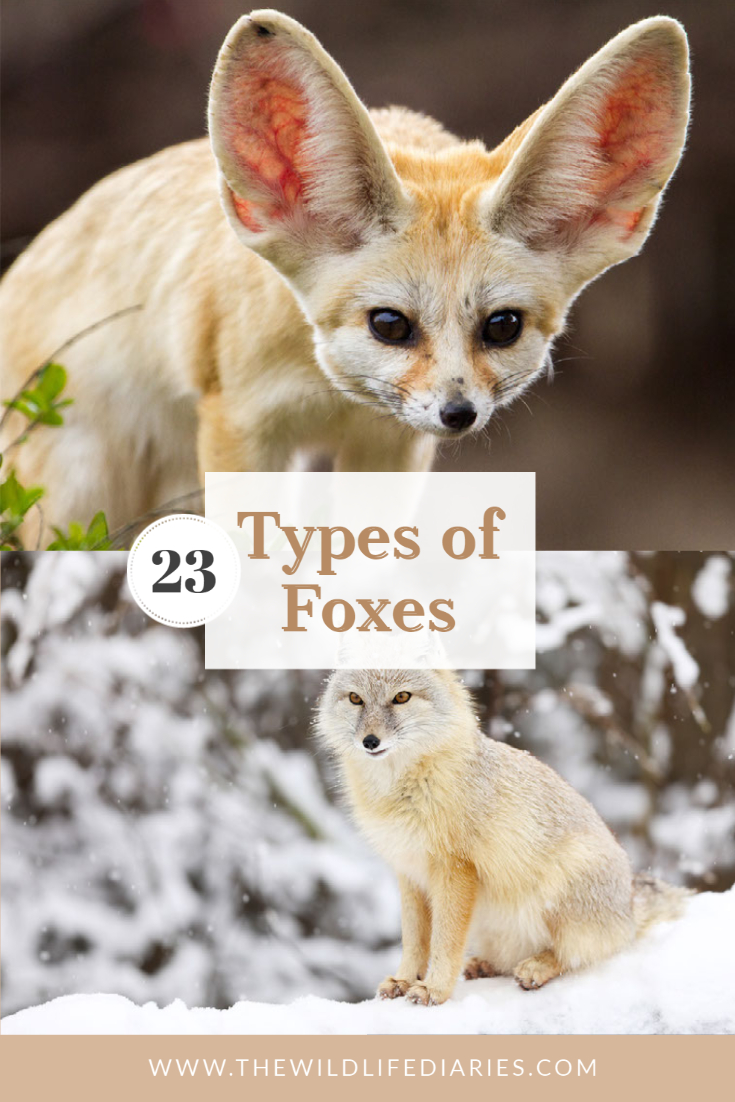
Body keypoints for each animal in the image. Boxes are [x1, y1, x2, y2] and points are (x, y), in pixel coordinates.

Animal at [0, 11, 690, 541]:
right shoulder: (241, 424)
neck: (327, 392)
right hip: (81, 489)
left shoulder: (389, 446)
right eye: (389, 324)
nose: (459, 414)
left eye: (502, 327)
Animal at [316, 668, 690, 1006]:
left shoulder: (455, 869)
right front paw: (404, 980)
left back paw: (536, 967)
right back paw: (488, 964)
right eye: (355, 699)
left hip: (560, 889)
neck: (402, 791)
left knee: (580, 954)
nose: (370, 741)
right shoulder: (409, 871)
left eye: (401, 697)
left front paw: (435, 989)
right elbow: (414, 940)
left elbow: (445, 941)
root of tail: (629, 905)